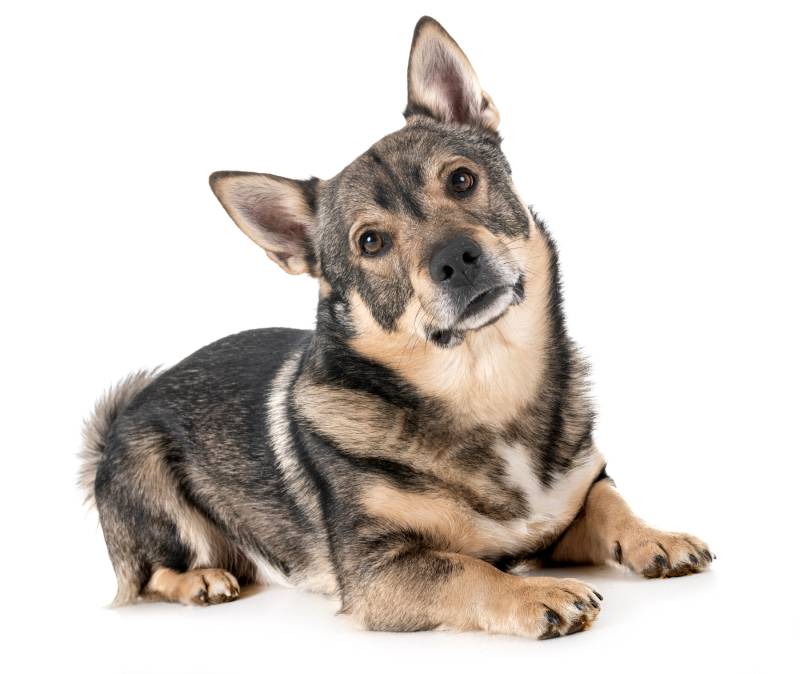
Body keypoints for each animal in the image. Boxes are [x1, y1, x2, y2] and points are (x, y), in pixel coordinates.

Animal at [81, 15, 716, 636]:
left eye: (461, 180)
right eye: (370, 242)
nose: (456, 257)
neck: (484, 380)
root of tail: (122, 418)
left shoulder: (569, 504)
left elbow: (609, 503)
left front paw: (656, 537)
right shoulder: (378, 570)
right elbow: (468, 570)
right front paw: (536, 593)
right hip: (152, 482)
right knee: (151, 575)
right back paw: (203, 581)